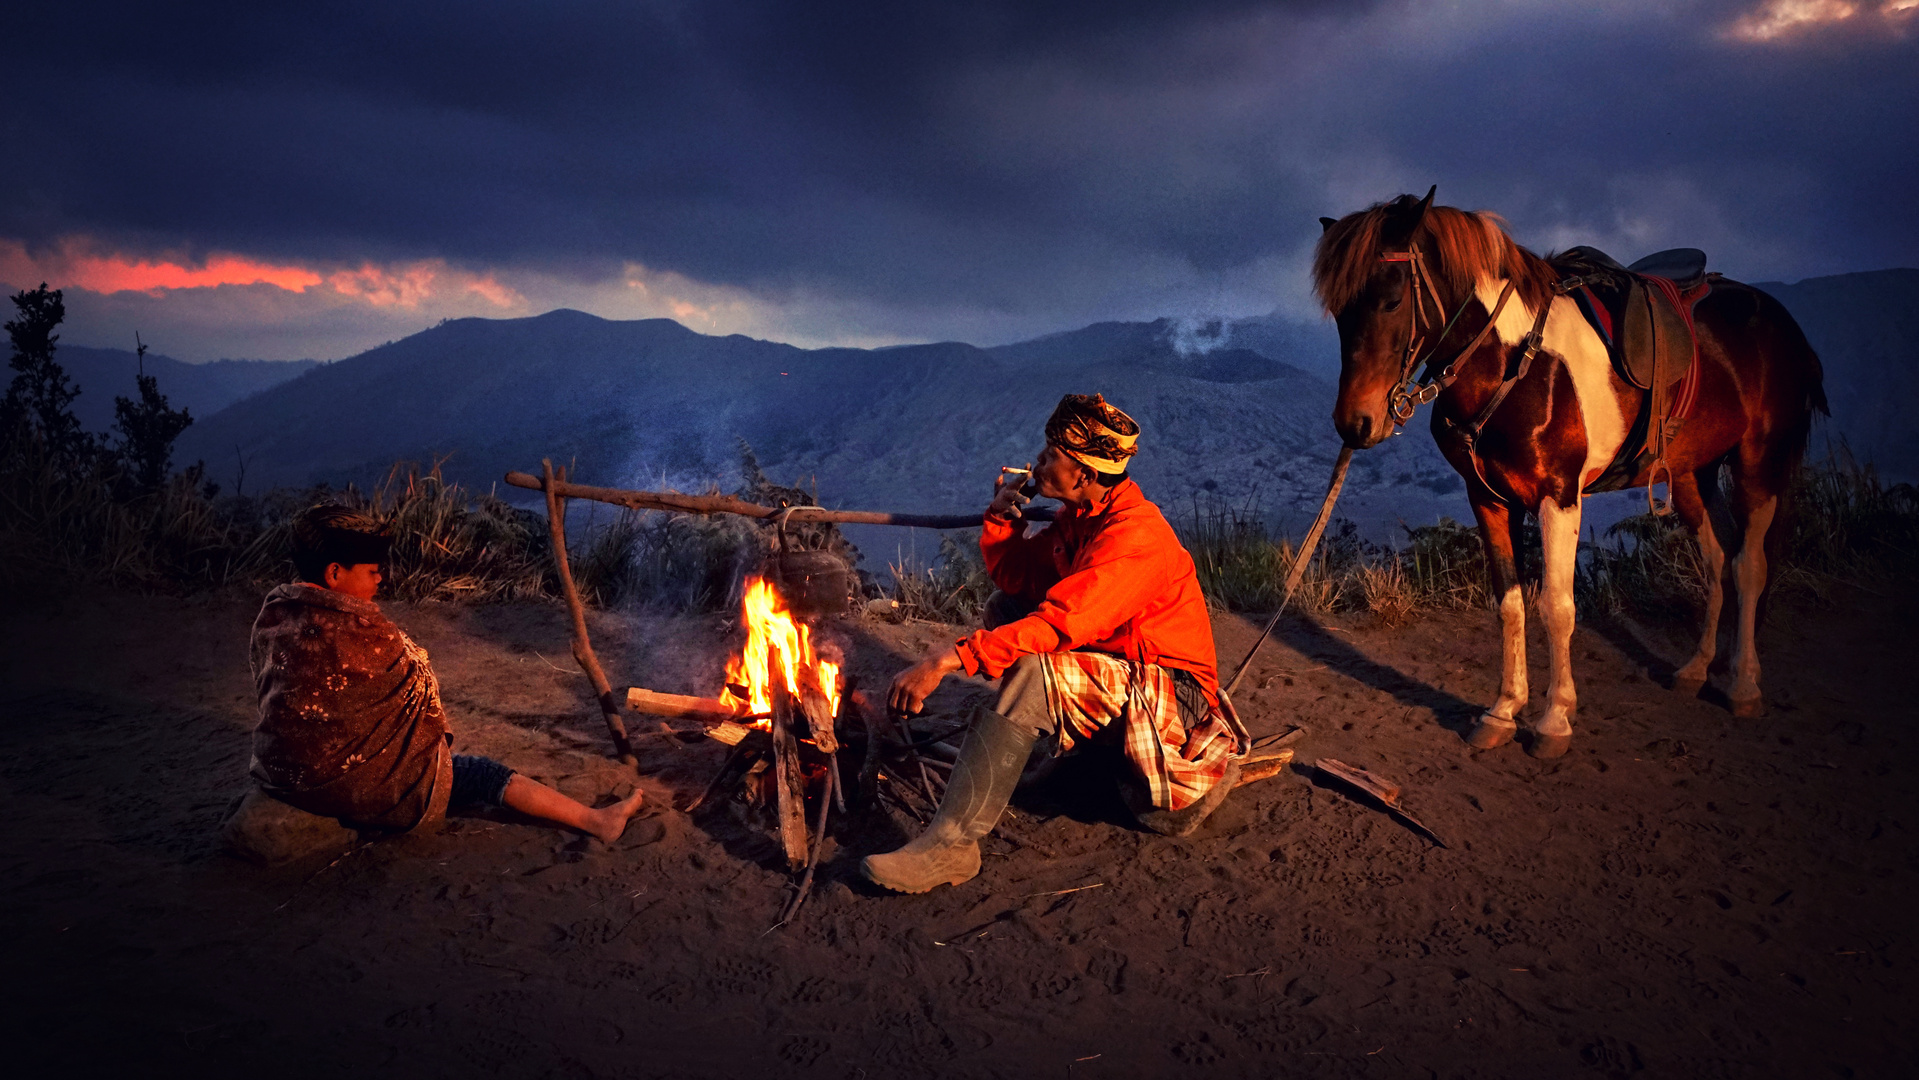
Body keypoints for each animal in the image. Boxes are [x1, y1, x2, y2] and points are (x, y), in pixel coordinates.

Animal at [1320, 189, 1826, 755]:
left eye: (1391, 300)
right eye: (1338, 311)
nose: (1355, 423)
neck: (1517, 364)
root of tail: (1781, 324)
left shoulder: (1558, 496)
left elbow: (1557, 607)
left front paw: (1554, 720)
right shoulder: (1488, 498)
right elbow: (1511, 603)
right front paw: (1503, 711)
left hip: (1758, 464)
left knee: (1749, 566)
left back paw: (1742, 685)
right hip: (1693, 475)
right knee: (1718, 560)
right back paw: (1696, 670)